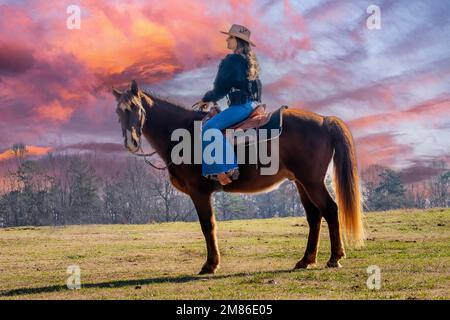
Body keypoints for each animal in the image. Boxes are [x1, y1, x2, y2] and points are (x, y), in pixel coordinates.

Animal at [112, 80, 366, 276]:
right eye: (118, 111)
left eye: (135, 107)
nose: (130, 142)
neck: (184, 135)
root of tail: (324, 119)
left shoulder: (199, 192)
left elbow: (208, 225)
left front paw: (210, 265)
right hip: (301, 183)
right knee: (314, 216)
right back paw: (306, 260)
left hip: (311, 182)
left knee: (330, 209)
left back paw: (334, 258)